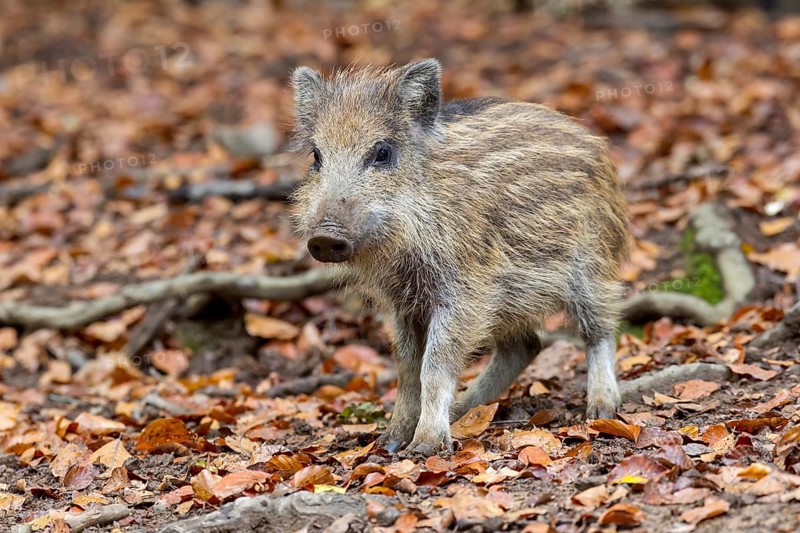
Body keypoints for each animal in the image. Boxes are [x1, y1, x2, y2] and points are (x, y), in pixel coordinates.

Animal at [291, 59, 630, 455]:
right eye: (316, 157)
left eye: (382, 152)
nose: (325, 236)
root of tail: (595, 143)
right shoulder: (401, 301)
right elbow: (407, 367)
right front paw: (390, 441)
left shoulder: (464, 292)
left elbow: (434, 366)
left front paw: (424, 446)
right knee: (526, 345)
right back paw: (465, 412)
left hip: (591, 265)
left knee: (600, 330)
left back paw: (600, 410)